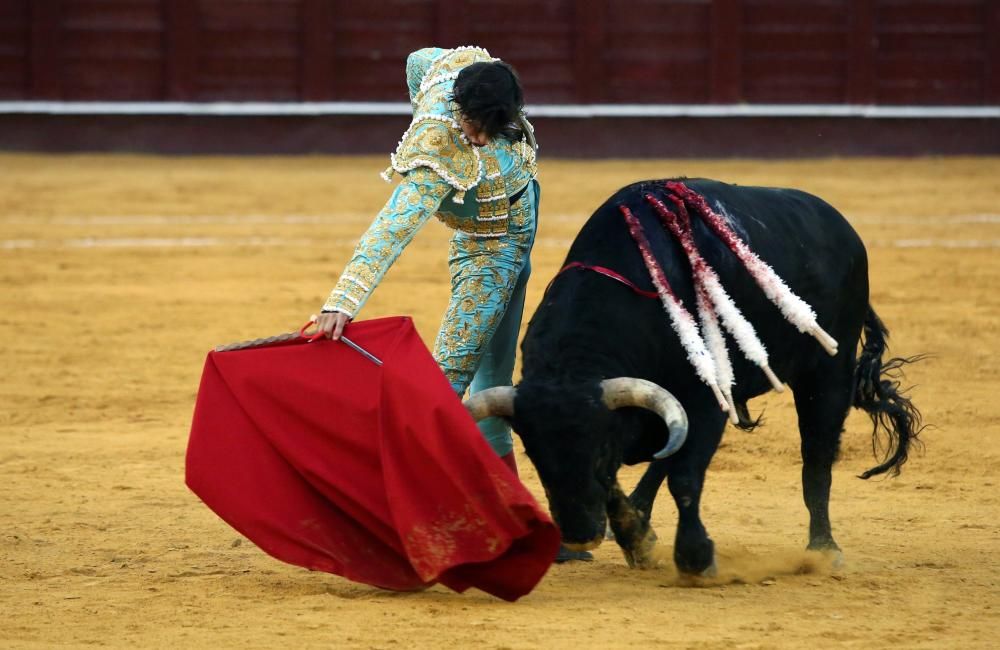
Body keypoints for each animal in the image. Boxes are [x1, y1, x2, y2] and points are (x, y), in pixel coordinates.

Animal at [466, 176, 920, 572]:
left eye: (597, 447)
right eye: (533, 454)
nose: (579, 535)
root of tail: (843, 228)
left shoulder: (705, 400)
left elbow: (683, 477)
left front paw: (695, 558)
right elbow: (632, 475)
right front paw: (639, 540)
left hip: (827, 374)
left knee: (817, 457)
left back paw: (823, 550)